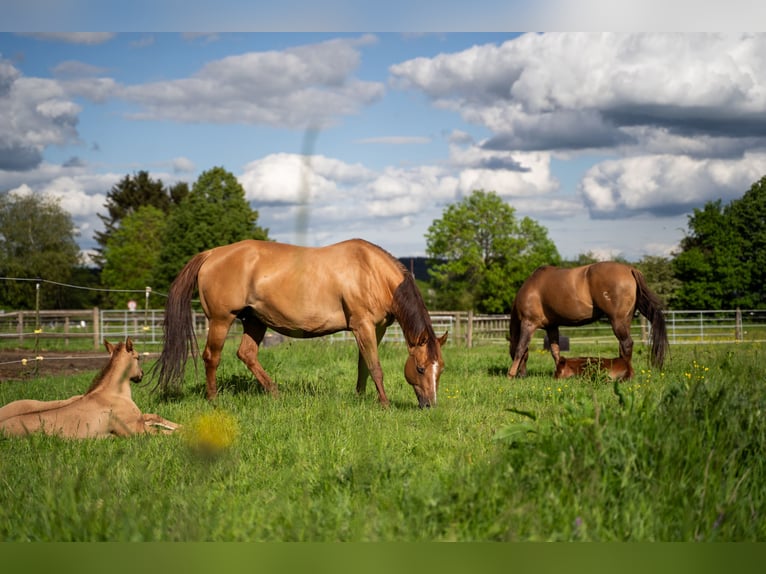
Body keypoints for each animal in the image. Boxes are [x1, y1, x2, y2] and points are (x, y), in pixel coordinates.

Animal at [0, 338, 179, 438]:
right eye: (138, 357)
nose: (141, 375)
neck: (113, 395)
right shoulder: (136, 431)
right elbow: (165, 433)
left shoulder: (141, 420)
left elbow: (156, 418)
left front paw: (181, 425)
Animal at [153, 239, 448, 408]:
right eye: (420, 369)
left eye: (440, 369)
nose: (430, 405)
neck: (371, 271)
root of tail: (212, 254)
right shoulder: (362, 326)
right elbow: (375, 367)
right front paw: (384, 404)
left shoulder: (376, 329)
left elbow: (363, 366)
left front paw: (361, 397)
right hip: (220, 320)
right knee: (211, 357)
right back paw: (213, 399)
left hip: (255, 321)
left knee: (246, 354)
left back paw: (275, 394)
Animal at [507, 261, 668, 379]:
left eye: (510, 352)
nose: (522, 375)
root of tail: (630, 269)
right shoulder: (552, 327)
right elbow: (555, 352)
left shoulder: (528, 323)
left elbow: (521, 348)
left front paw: (511, 374)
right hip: (625, 321)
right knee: (623, 346)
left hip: (617, 321)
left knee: (627, 344)